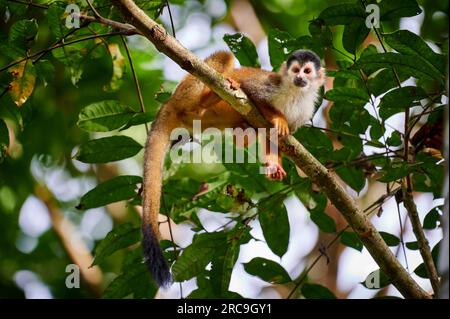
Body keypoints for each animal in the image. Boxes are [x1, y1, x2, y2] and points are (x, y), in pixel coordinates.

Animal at [142, 50, 326, 288]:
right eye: (296, 70)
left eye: (307, 71)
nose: (300, 78)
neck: (295, 93)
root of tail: (169, 104)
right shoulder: (270, 84)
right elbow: (253, 94)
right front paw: (278, 117)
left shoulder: (305, 111)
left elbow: (272, 138)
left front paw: (274, 164)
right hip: (185, 91)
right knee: (224, 59)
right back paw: (209, 97)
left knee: (245, 134)